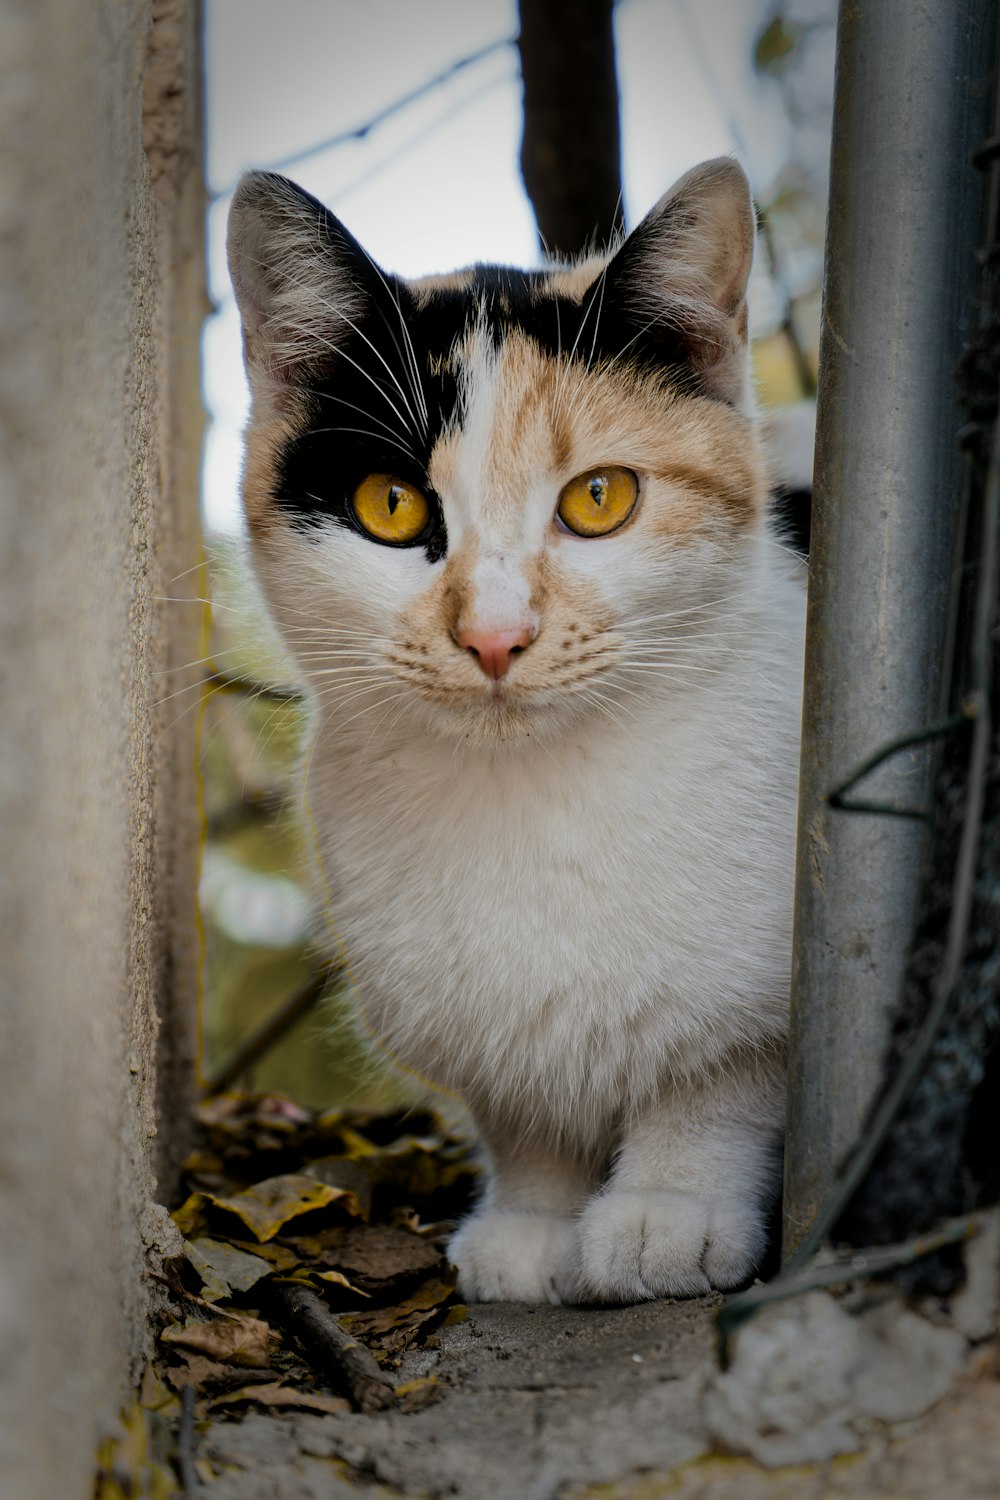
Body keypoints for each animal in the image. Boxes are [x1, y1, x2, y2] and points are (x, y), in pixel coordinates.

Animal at [224, 161, 803, 1302]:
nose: (495, 636)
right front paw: (535, 1222)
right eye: (390, 505)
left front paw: (668, 1209)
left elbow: (718, 1081)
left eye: (599, 498)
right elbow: (525, 1110)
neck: (532, 797)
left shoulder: (762, 1007)